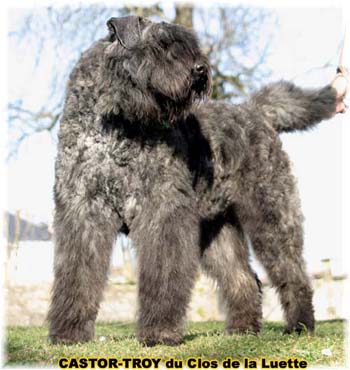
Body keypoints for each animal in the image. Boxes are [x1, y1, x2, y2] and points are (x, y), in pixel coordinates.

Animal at [47, 15, 340, 346]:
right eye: (158, 45)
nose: (200, 69)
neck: (115, 127)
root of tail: (256, 112)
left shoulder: (161, 212)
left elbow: (163, 273)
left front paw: (160, 332)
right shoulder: (82, 212)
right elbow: (76, 275)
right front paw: (69, 332)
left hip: (273, 218)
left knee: (292, 273)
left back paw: (300, 326)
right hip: (217, 231)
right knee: (243, 278)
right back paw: (242, 329)